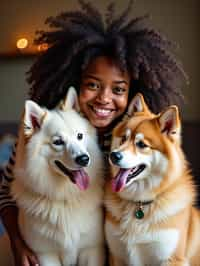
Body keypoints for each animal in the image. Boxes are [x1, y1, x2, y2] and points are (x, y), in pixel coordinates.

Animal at [104, 94, 200, 266]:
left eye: (141, 144)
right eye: (123, 139)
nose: (114, 156)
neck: (140, 204)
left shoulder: (172, 259)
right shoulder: (117, 255)